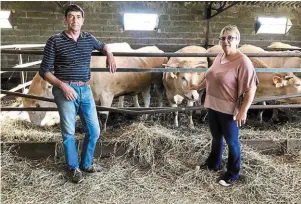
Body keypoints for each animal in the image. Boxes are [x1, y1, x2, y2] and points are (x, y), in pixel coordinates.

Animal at [22, 43, 169, 131]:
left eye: (36, 106)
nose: (33, 124)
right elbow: (96, 114)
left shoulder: (107, 95)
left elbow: (104, 115)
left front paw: (102, 130)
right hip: (143, 85)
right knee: (142, 97)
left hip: (156, 82)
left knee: (154, 96)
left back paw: (153, 112)